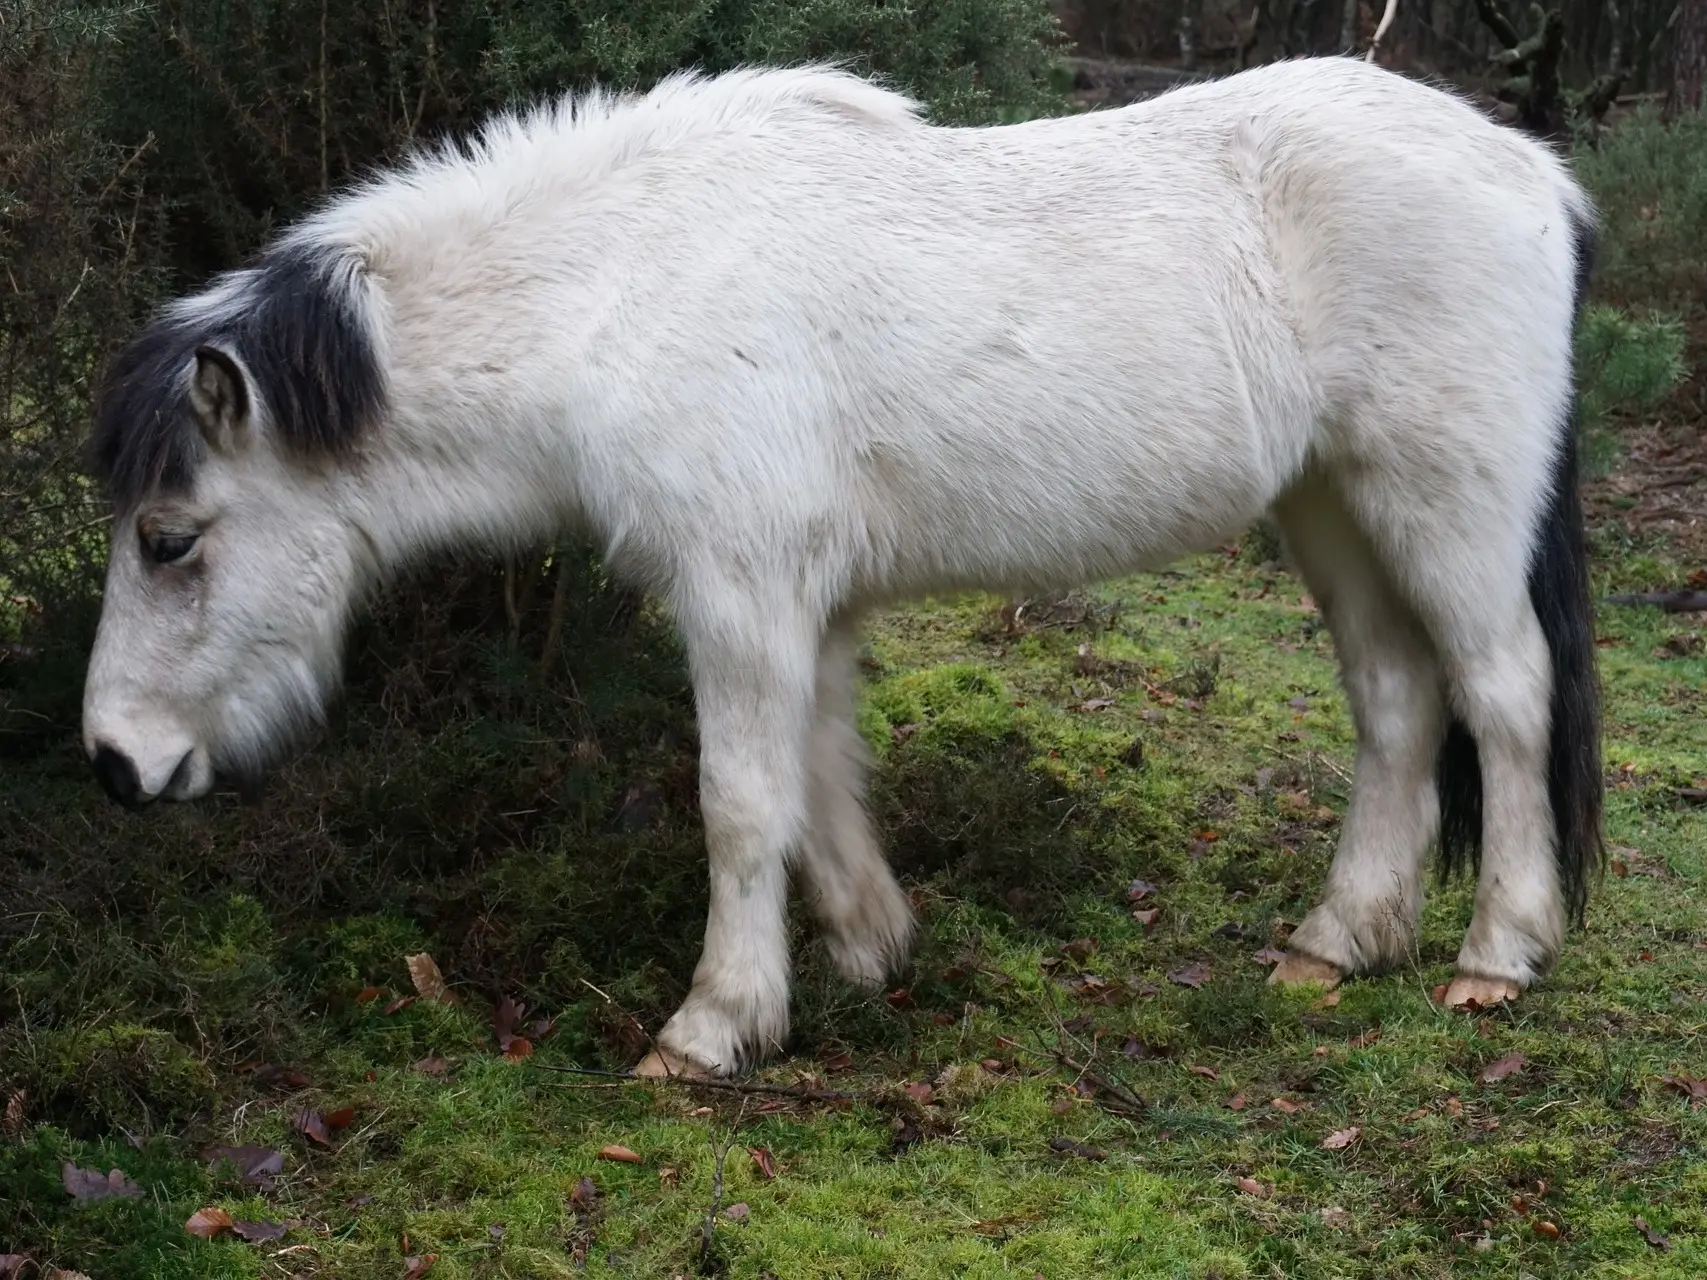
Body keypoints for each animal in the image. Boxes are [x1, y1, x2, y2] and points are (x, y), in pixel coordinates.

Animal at [80, 60, 1597, 1085]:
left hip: (1443, 506)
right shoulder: (792, 604)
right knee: (1396, 700)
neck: (623, 289)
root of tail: (1529, 173)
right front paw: (871, 951)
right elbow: (818, 779)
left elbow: (741, 802)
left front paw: (711, 1027)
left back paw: (1498, 955)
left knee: (1504, 696)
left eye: (170, 538)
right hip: (1334, 508)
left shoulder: (740, 594)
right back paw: (1336, 940)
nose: (113, 762)